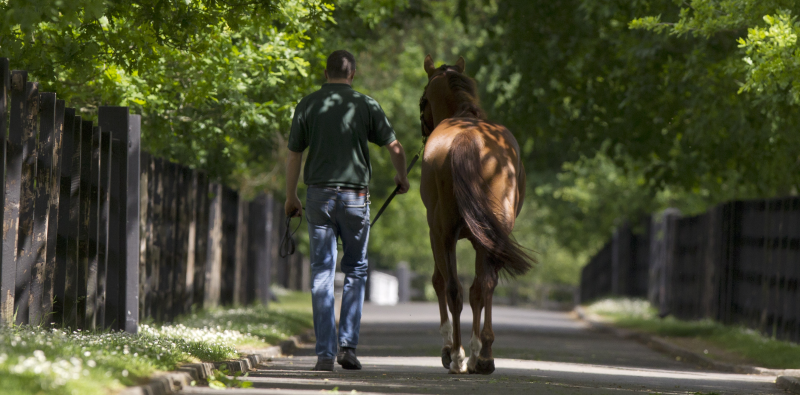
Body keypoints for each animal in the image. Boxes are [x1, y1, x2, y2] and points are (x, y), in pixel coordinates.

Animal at [418, 55, 532, 374]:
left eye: (423, 100)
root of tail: (468, 137)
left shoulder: (435, 232)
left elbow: (440, 282)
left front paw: (449, 349)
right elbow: (478, 289)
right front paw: (476, 350)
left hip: (444, 232)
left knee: (454, 289)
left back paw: (457, 356)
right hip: (494, 233)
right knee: (484, 285)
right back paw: (484, 356)